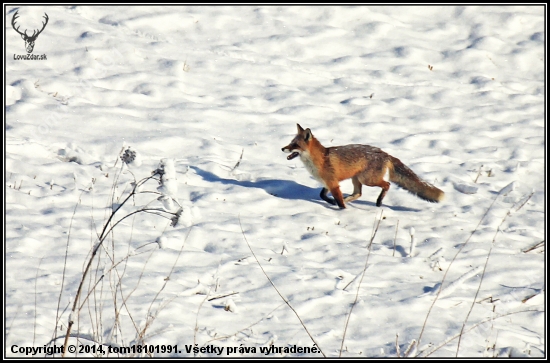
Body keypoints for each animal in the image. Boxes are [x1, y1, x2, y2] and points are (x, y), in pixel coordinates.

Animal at [282, 124, 446, 209]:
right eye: (290, 143)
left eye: (295, 145)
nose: (283, 148)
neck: (320, 160)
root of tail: (385, 153)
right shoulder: (328, 182)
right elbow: (322, 195)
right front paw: (332, 202)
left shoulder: (333, 183)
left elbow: (338, 201)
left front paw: (341, 210)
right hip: (357, 179)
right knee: (358, 194)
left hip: (367, 179)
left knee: (386, 185)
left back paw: (379, 202)